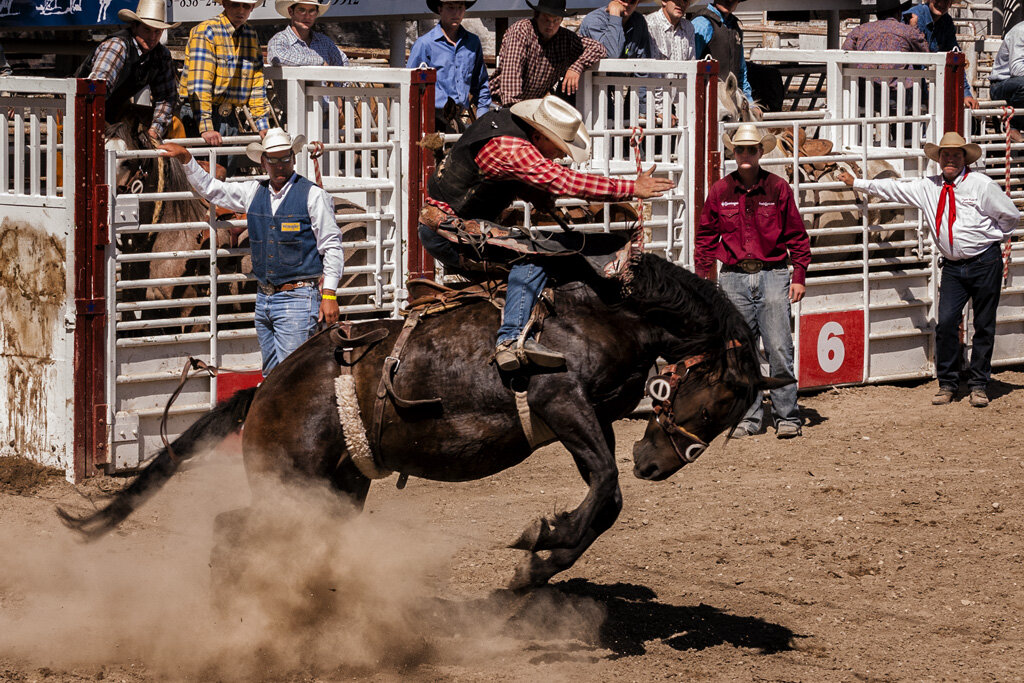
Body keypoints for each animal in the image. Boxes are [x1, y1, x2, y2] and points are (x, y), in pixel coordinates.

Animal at [59, 253, 786, 589]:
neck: (605, 313)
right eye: (714, 400)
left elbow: (606, 500)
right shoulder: (561, 402)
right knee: (230, 528)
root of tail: (262, 390)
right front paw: (539, 539)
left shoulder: (589, 419)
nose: (656, 463)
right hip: (292, 482)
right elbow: (605, 486)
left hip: (337, 488)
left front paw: (539, 565)